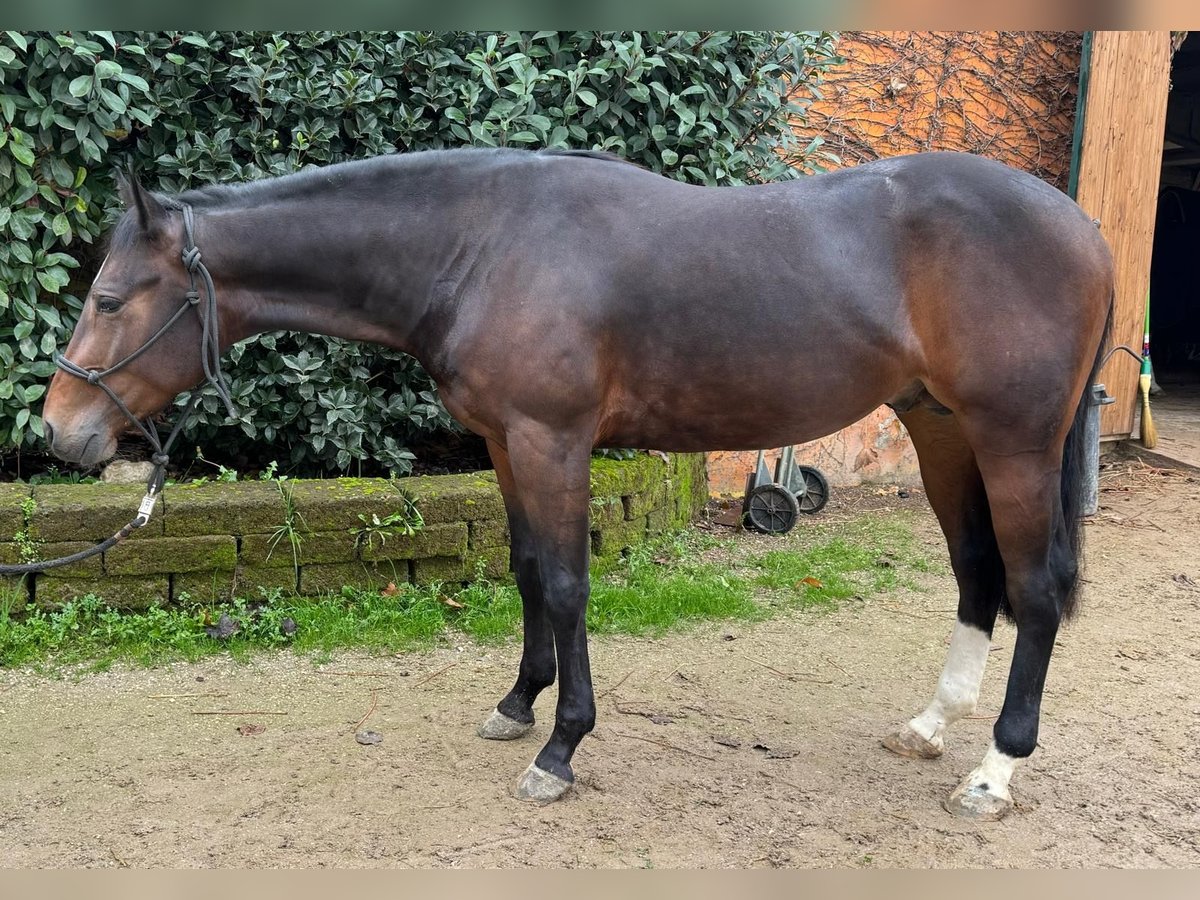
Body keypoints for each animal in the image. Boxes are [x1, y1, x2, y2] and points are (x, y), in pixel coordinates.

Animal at [44, 148, 1113, 816]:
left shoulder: (552, 441)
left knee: (1035, 592)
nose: (57, 431)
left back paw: (994, 772)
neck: (481, 245)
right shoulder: (505, 443)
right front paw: (518, 704)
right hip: (941, 430)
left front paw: (561, 749)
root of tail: (1084, 228)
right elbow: (525, 570)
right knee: (976, 575)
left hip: (1014, 443)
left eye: (109, 298)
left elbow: (565, 584)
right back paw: (930, 727)